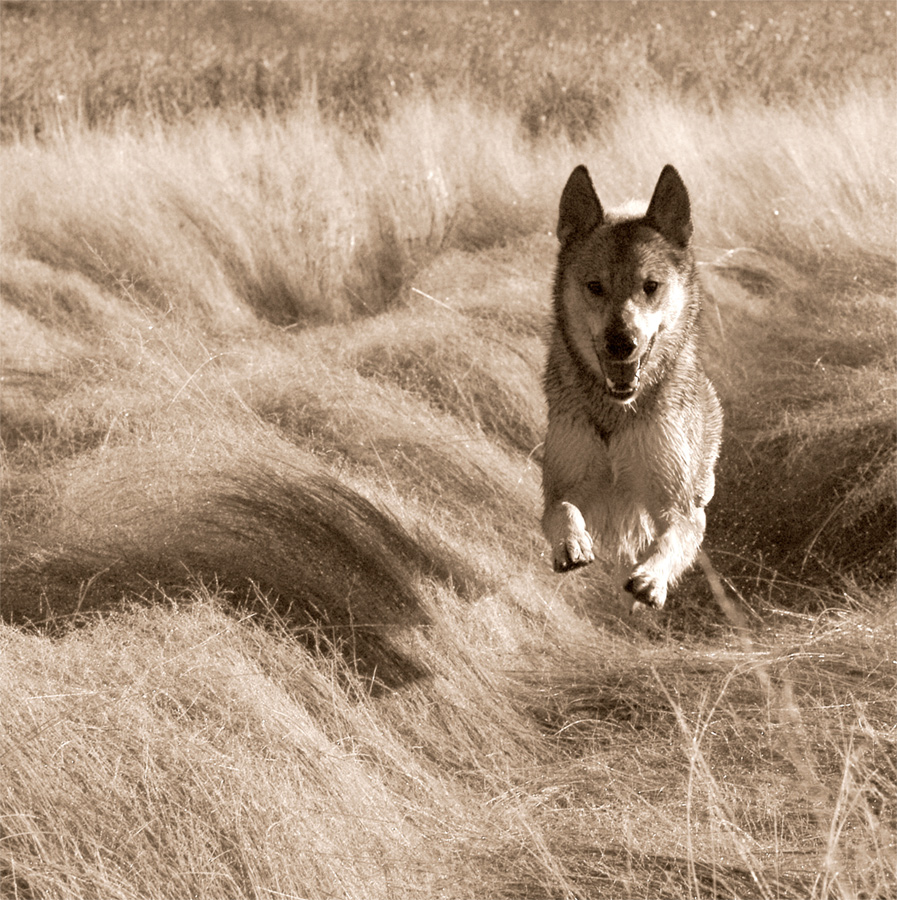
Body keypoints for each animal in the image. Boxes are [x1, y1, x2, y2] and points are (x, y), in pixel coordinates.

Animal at [540, 164, 720, 608]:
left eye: (649, 286)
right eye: (595, 286)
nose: (621, 343)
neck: (616, 411)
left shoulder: (677, 504)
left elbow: (674, 537)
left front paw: (651, 579)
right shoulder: (563, 484)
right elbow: (563, 510)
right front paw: (572, 544)